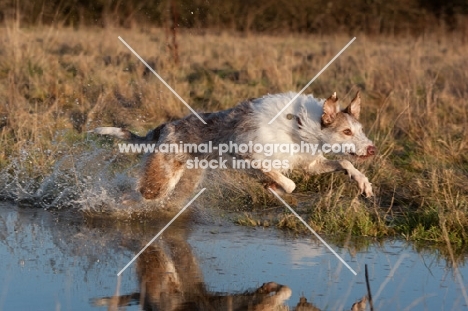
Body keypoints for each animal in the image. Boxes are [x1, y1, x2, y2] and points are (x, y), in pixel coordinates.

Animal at [91, 91, 376, 201]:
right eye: (347, 131)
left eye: (361, 130)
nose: (372, 149)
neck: (301, 126)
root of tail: (165, 127)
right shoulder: (247, 155)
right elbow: (289, 183)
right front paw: (274, 186)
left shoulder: (310, 164)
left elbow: (344, 162)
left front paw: (363, 182)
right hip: (159, 181)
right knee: (132, 195)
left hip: (186, 180)